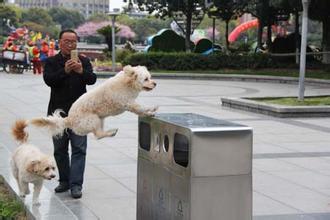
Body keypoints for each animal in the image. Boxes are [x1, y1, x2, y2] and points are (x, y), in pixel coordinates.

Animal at [28, 64, 157, 139]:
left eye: (150, 77)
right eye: (146, 79)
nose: (155, 83)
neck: (127, 82)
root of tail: (69, 119)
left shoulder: (130, 103)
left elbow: (139, 109)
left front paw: (149, 112)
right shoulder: (127, 103)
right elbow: (140, 107)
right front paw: (151, 109)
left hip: (100, 119)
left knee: (98, 135)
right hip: (93, 119)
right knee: (98, 135)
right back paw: (111, 132)